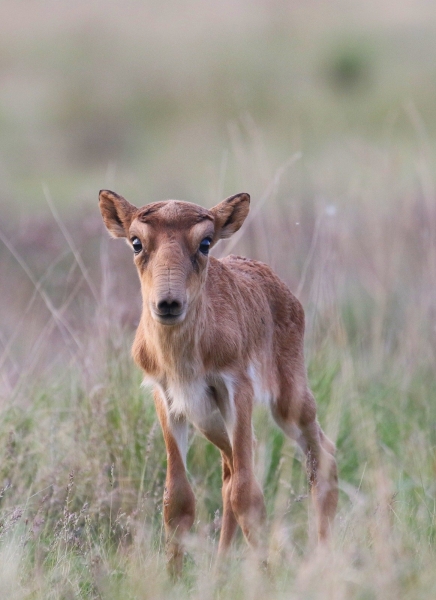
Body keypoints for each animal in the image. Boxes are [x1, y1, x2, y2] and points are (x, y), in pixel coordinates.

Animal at [99, 190, 338, 576]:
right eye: (136, 242)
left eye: (205, 242)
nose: (168, 303)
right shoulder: (167, 399)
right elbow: (178, 498)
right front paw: (174, 576)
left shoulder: (236, 388)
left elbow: (247, 494)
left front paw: (266, 573)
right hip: (210, 421)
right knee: (230, 470)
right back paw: (221, 565)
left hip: (289, 402)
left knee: (322, 454)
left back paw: (323, 554)